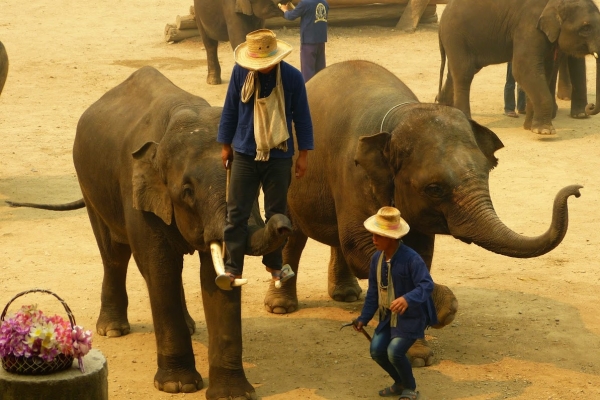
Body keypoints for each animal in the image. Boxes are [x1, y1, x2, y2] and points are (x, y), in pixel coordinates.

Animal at [5, 64, 292, 398]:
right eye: (187, 192)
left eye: (254, 186)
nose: (282, 222)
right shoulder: (138, 195)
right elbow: (160, 268)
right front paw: (178, 386)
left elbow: (215, 278)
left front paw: (233, 394)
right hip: (91, 189)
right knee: (115, 255)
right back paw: (113, 329)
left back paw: (189, 325)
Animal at [264, 58, 584, 366]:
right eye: (434, 189)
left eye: (488, 172)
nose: (577, 190)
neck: (395, 121)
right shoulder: (352, 175)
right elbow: (360, 245)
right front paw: (445, 310)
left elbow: (418, 257)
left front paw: (418, 356)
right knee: (294, 234)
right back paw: (280, 307)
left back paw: (347, 295)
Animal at [436, 0, 600, 135]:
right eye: (586, 28)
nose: (590, 106)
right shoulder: (529, 25)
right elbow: (523, 69)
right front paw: (545, 131)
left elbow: (544, 70)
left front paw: (530, 127)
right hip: (456, 37)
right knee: (464, 74)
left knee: (457, 72)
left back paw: (445, 109)